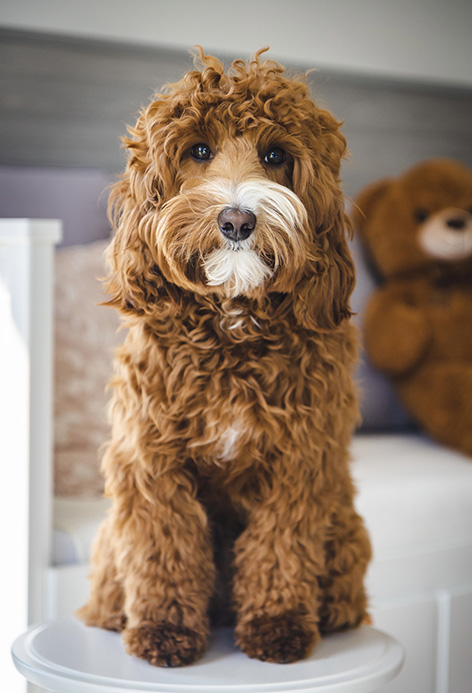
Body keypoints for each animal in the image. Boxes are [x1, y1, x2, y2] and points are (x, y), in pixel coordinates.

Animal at [78, 48, 372, 664]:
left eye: (276, 155)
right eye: (198, 150)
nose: (237, 220)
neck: (233, 323)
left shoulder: (301, 460)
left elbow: (280, 545)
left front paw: (278, 624)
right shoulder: (151, 459)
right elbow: (164, 544)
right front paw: (164, 628)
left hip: (346, 528)